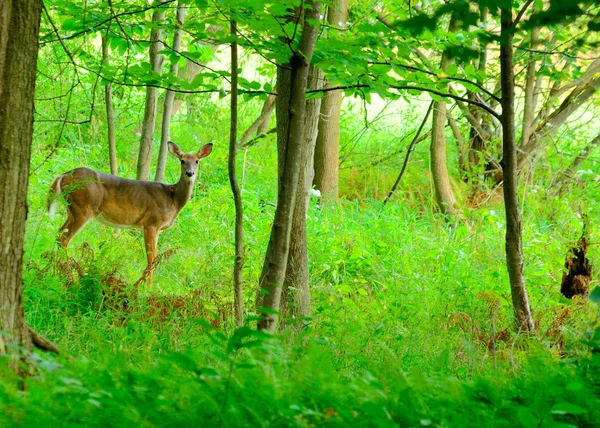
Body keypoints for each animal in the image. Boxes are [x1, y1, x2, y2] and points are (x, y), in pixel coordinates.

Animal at [48, 140, 213, 286]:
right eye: (182, 160)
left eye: (197, 161)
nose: (190, 173)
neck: (173, 199)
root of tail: (63, 175)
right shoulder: (151, 222)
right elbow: (151, 258)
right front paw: (148, 287)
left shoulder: (158, 228)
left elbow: (155, 256)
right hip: (84, 208)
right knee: (64, 239)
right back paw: (69, 276)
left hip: (72, 209)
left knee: (59, 233)